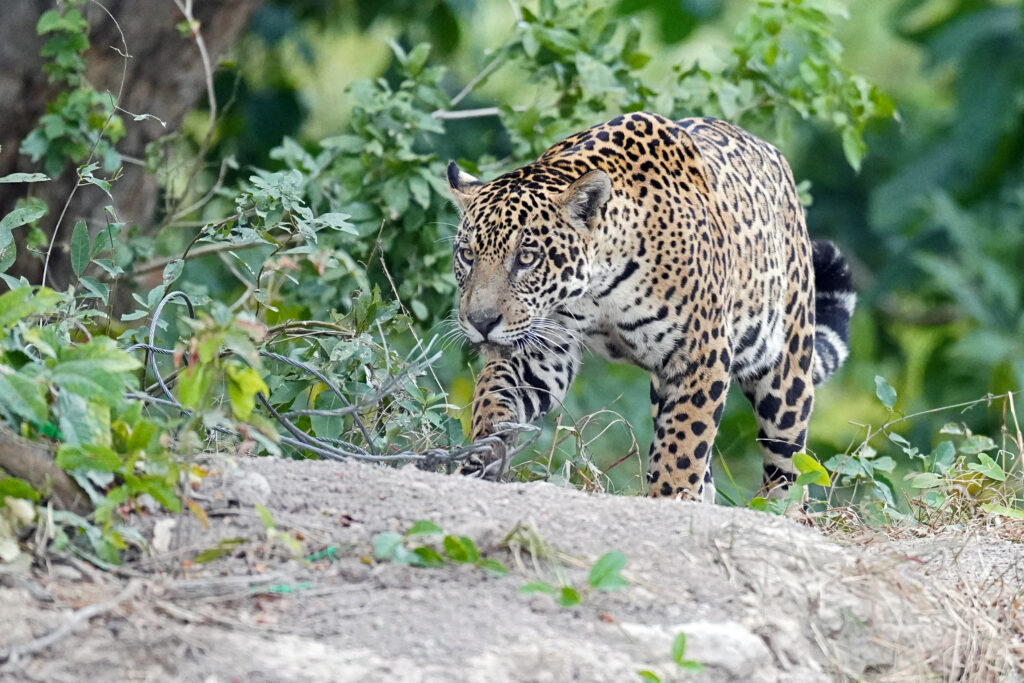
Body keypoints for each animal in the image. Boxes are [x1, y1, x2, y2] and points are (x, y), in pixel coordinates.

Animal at [446, 112, 854, 502]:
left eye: (527, 258)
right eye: (467, 255)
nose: (481, 322)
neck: (597, 289)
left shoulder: (700, 356)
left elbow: (685, 442)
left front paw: (671, 496)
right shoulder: (544, 349)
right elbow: (495, 394)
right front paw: (483, 452)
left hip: (784, 369)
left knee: (789, 463)